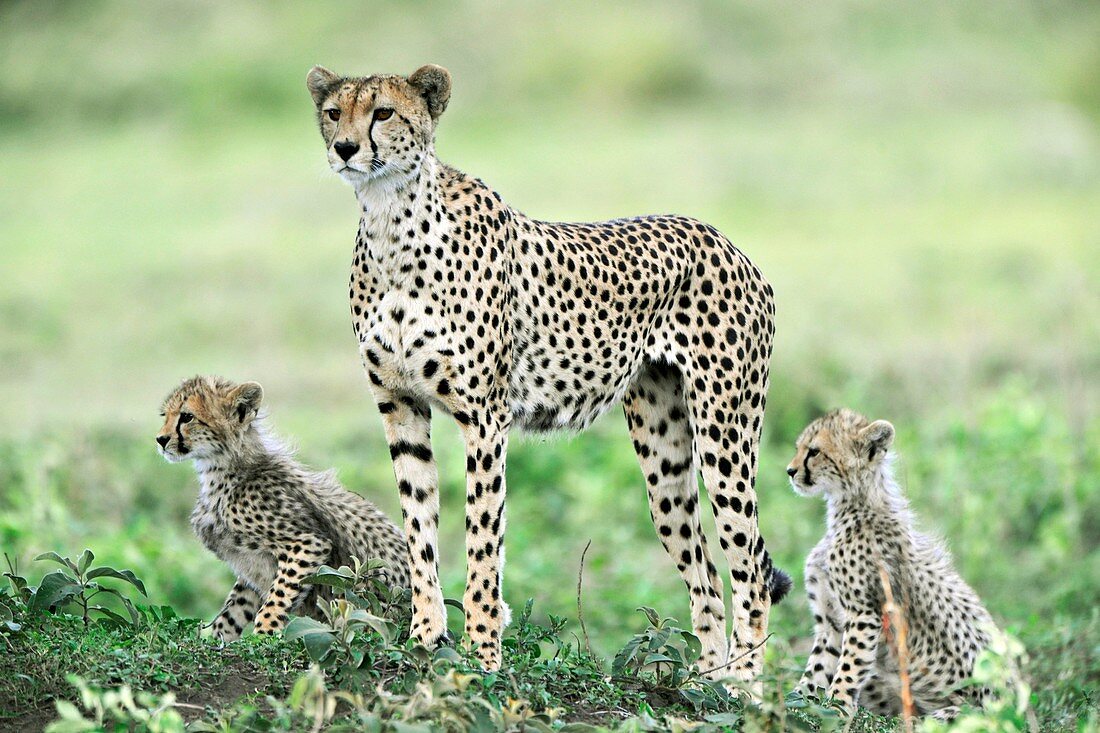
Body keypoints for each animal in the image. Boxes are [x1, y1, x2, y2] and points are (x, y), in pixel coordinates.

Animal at [156, 374, 409, 638]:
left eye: (187, 416)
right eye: (165, 415)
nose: (160, 439)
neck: (224, 468)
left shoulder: (309, 543)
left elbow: (277, 597)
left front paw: (265, 632)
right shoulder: (252, 568)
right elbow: (232, 611)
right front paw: (218, 637)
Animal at [310, 65, 787, 677]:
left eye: (383, 112)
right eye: (333, 112)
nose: (346, 148)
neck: (390, 220)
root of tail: (724, 239)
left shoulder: (484, 419)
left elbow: (482, 540)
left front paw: (483, 656)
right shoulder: (401, 409)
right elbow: (420, 526)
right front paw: (424, 638)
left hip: (725, 433)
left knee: (748, 571)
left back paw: (740, 688)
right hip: (663, 452)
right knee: (703, 571)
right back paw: (703, 682)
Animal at [787, 407, 994, 717]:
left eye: (814, 451)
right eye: (800, 448)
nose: (790, 471)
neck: (852, 505)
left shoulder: (865, 614)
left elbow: (848, 667)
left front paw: (836, 706)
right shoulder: (830, 621)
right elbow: (819, 665)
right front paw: (796, 702)